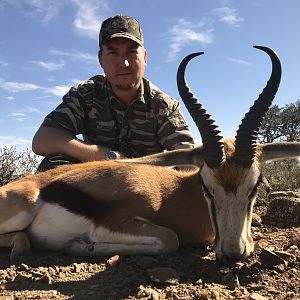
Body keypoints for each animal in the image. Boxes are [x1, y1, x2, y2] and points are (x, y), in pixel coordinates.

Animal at [0, 45, 298, 264]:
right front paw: (80, 246)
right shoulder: (114, 225)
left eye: (256, 185)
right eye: (207, 187)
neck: (172, 195)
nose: (233, 252)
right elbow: (170, 239)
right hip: (24, 208)